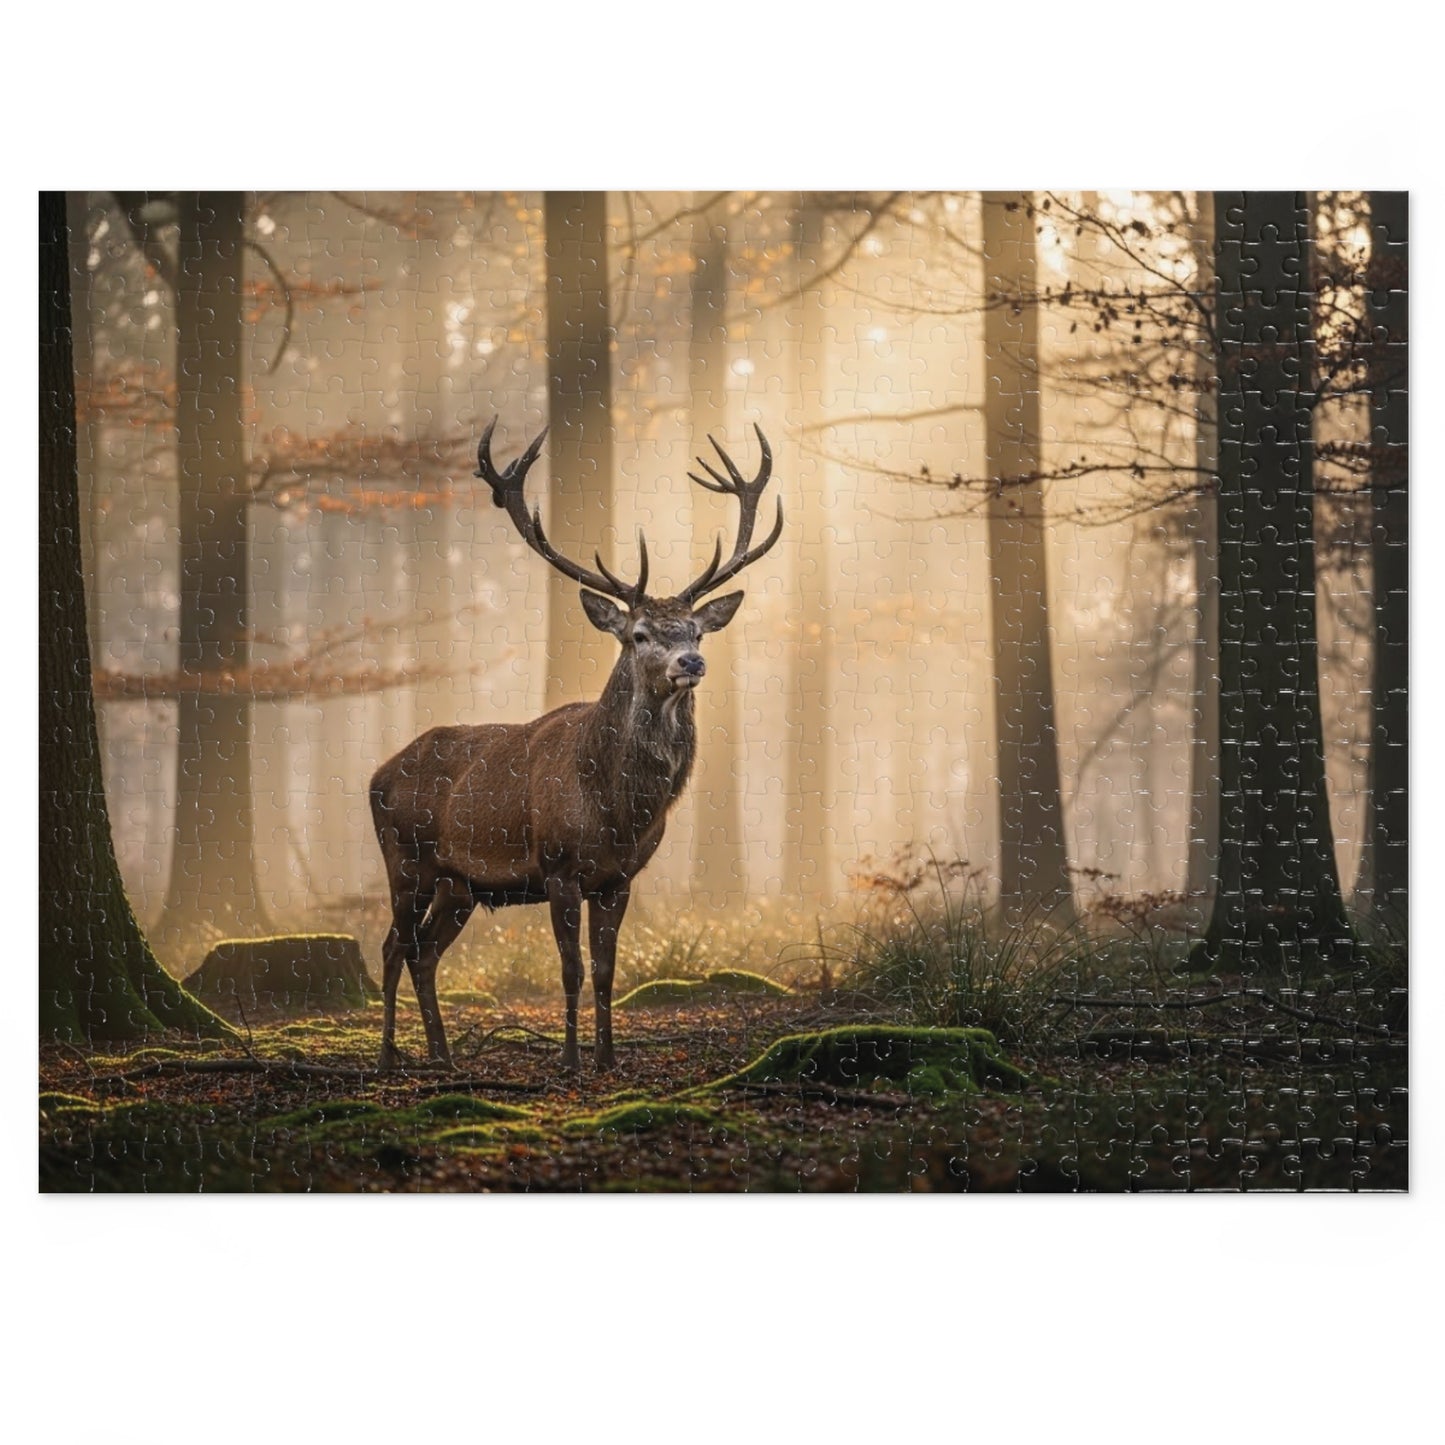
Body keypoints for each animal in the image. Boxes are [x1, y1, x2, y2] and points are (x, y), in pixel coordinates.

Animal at [369, 418, 783, 1073]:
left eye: (694, 630)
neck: (616, 810)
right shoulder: (559, 866)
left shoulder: (620, 877)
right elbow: (569, 969)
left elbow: (608, 970)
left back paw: (442, 1055)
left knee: (424, 953)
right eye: (639, 634)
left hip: (459, 884)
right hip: (405, 857)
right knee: (391, 948)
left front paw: (608, 1058)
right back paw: (389, 1058)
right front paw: (568, 1059)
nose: (691, 663)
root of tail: (376, 774)